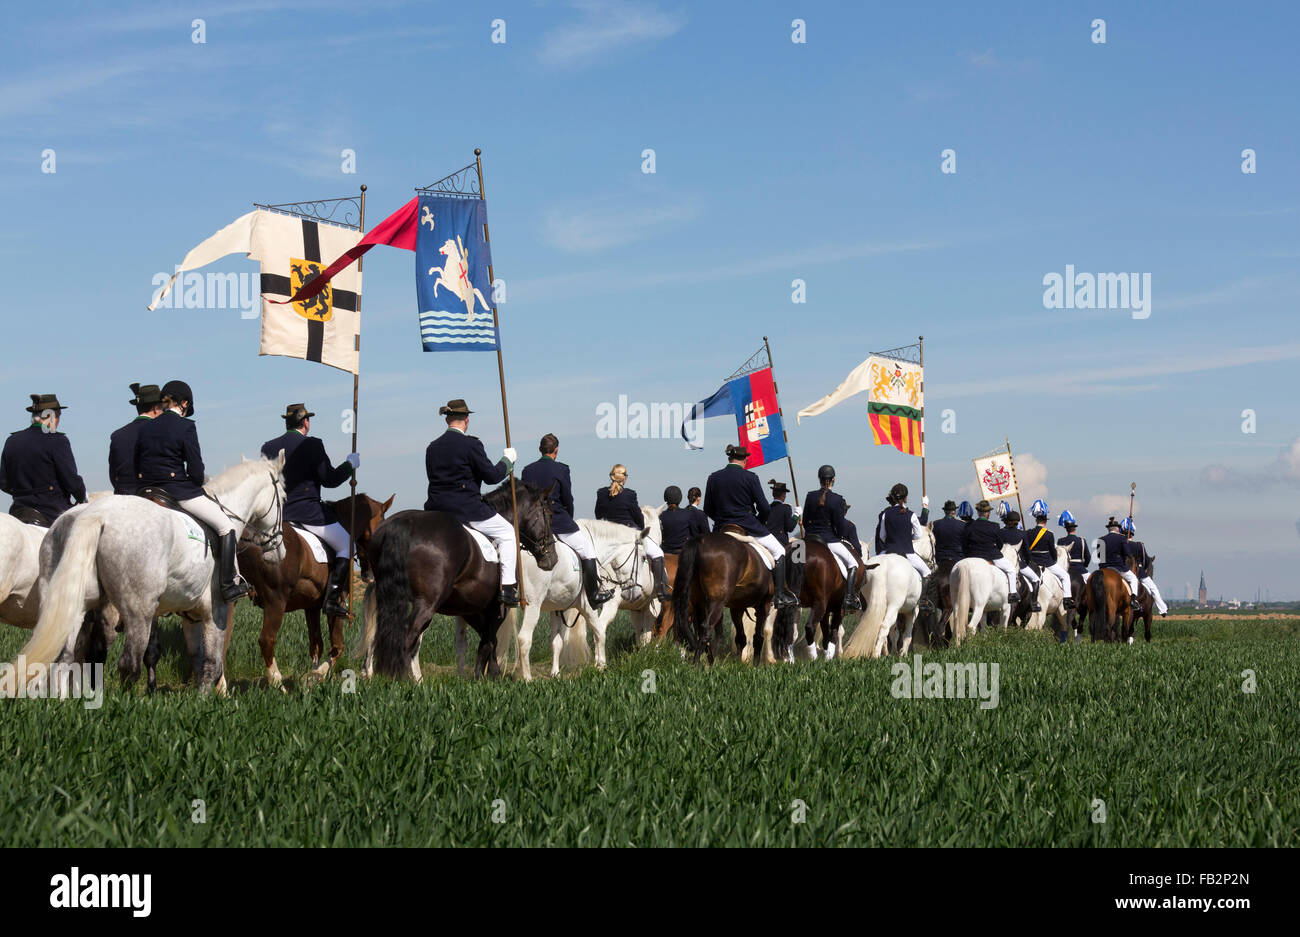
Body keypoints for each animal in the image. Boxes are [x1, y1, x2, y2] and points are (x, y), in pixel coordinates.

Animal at [16, 457, 284, 696]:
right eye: (283, 496)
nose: (278, 549)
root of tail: (93, 514)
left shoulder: (190, 614)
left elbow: (195, 658)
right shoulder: (216, 609)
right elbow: (211, 662)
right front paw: (208, 699)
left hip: (74, 603)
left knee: (65, 656)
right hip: (136, 610)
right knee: (127, 664)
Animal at [237, 493, 390, 680]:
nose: (370, 576)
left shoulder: (311, 606)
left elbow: (316, 644)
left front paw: (314, 674)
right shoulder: (337, 603)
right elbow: (337, 646)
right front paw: (318, 674)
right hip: (275, 601)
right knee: (267, 640)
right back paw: (277, 682)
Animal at [364, 483, 556, 680]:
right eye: (549, 515)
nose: (552, 559)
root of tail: (403, 523)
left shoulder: (469, 608)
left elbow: (488, 637)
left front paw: (489, 674)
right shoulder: (496, 607)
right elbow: (489, 639)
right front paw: (483, 675)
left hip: (388, 599)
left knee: (381, 634)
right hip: (426, 604)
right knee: (407, 636)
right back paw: (402, 678)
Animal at [676, 525, 774, 665]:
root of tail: (700, 541)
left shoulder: (737, 607)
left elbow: (741, 637)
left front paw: (739, 662)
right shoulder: (764, 606)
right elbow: (758, 637)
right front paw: (755, 665)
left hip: (698, 602)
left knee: (697, 628)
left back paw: (710, 661)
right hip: (717, 602)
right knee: (706, 628)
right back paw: (697, 664)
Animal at [842, 525, 935, 657]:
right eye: (933, 542)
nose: (934, 564)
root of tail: (883, 565)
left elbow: (894, 632)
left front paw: (892, 652)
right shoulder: (913, 610)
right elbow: (907, 634)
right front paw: (902, 653)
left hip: (871, 604)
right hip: (894, 605)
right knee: (884, 626)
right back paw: (876, 655)